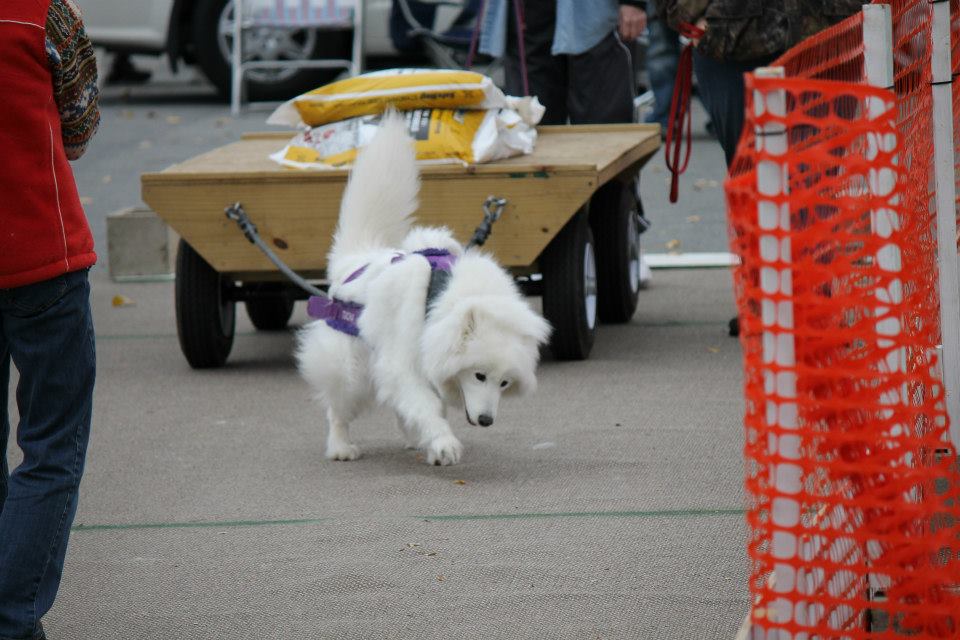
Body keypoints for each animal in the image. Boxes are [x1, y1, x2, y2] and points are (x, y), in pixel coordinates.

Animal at [294, 114, 548, 464]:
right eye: (479, 375)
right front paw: (444, 444)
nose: (486, 421)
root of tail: (354, 259)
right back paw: (341, 448)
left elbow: (427, 406)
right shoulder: (402, 364)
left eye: (505, 383)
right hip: (351, 372)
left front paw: (432, 442)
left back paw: (412, 439)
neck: (438, 299)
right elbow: (425, 405)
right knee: (338, 409)